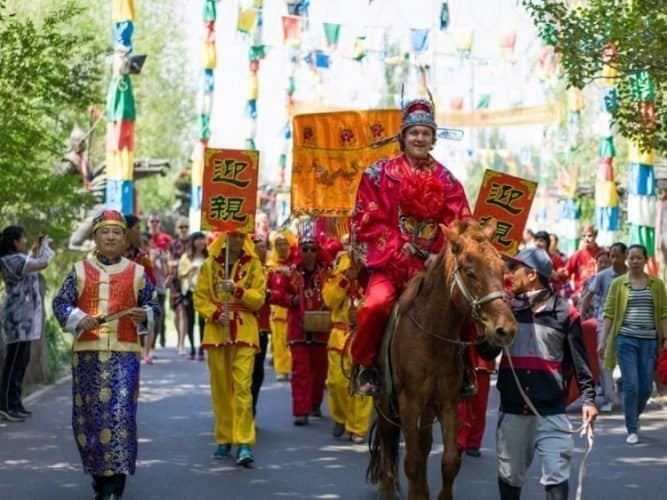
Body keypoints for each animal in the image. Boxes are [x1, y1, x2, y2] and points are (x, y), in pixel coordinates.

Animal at [368, 220, 520, 500]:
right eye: (470, 272)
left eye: (502, 269)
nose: (505, 329)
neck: (432, 337)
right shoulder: (409, 401)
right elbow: (412, 460)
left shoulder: (448, 402)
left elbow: (449, 461)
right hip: (385, 396)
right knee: (386, 432)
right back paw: (386, 486)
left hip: (429, 405)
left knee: (425, 442)